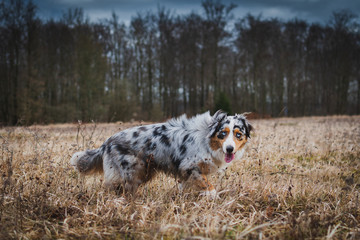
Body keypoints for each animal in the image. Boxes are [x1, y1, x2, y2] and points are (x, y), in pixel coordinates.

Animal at [70, 110, 253, 197]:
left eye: (238, 134)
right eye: (223, 134)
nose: (229, 149)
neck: (206, 137)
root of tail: (106, 142)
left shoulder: (186, 173)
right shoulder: (189, 166)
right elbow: (208, 185)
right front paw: (213, 197)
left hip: (144, 171)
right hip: (131, 171)